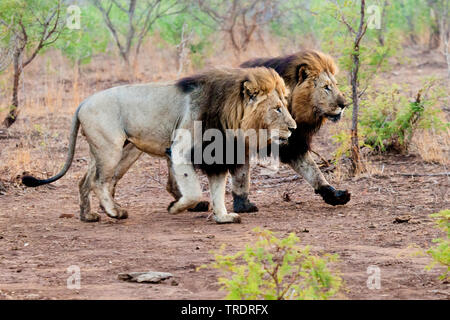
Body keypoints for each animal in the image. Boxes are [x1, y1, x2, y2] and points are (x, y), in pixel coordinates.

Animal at [21, 66, 298, 224]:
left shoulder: (218, 153)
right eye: (277, 108)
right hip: (110, 149)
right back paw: (114, 213)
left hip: (115, 151)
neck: (231, 114)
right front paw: (177, 207)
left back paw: (88, 216)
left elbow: (218, 189)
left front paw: (222, 217)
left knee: (86, 181)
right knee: (100, 181)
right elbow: (193, 190)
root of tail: (82, 103)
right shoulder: (180, 148)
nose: (294, 127)